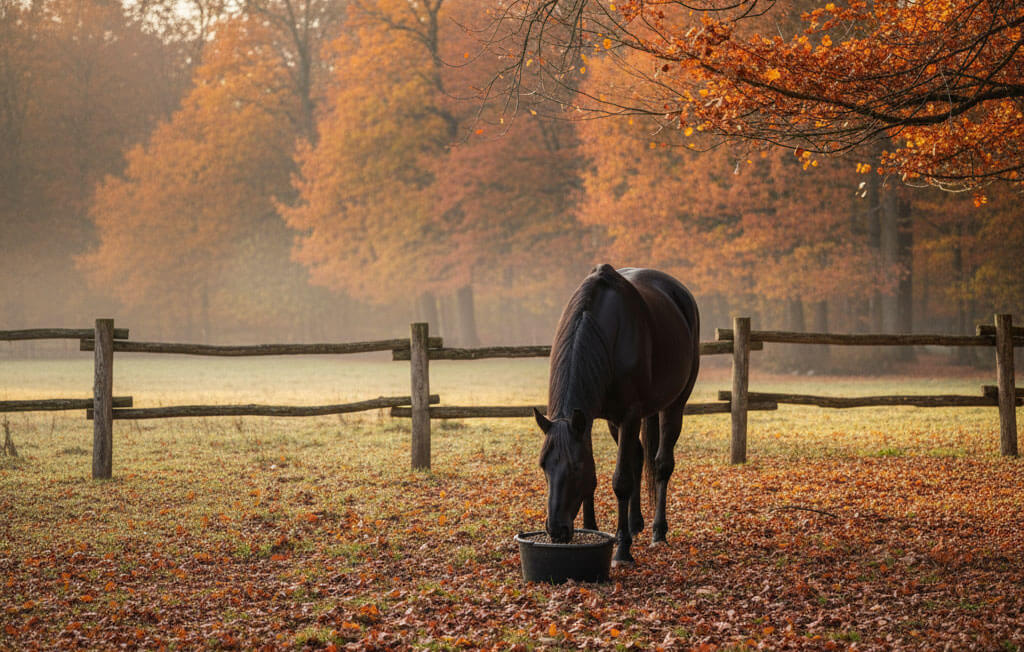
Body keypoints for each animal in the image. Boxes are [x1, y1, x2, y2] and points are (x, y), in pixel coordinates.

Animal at [534, 264, 700, 566]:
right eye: (543, 466)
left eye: (574, 468)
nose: (556, 530)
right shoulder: (593, 420)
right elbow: (600, 478)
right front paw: (592, 529)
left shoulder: (629, 415)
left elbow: (621, 481)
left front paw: (622, 550)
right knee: (638, 457)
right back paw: (635, 524)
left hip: (674, 404)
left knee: (661, 464)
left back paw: (658, 532)